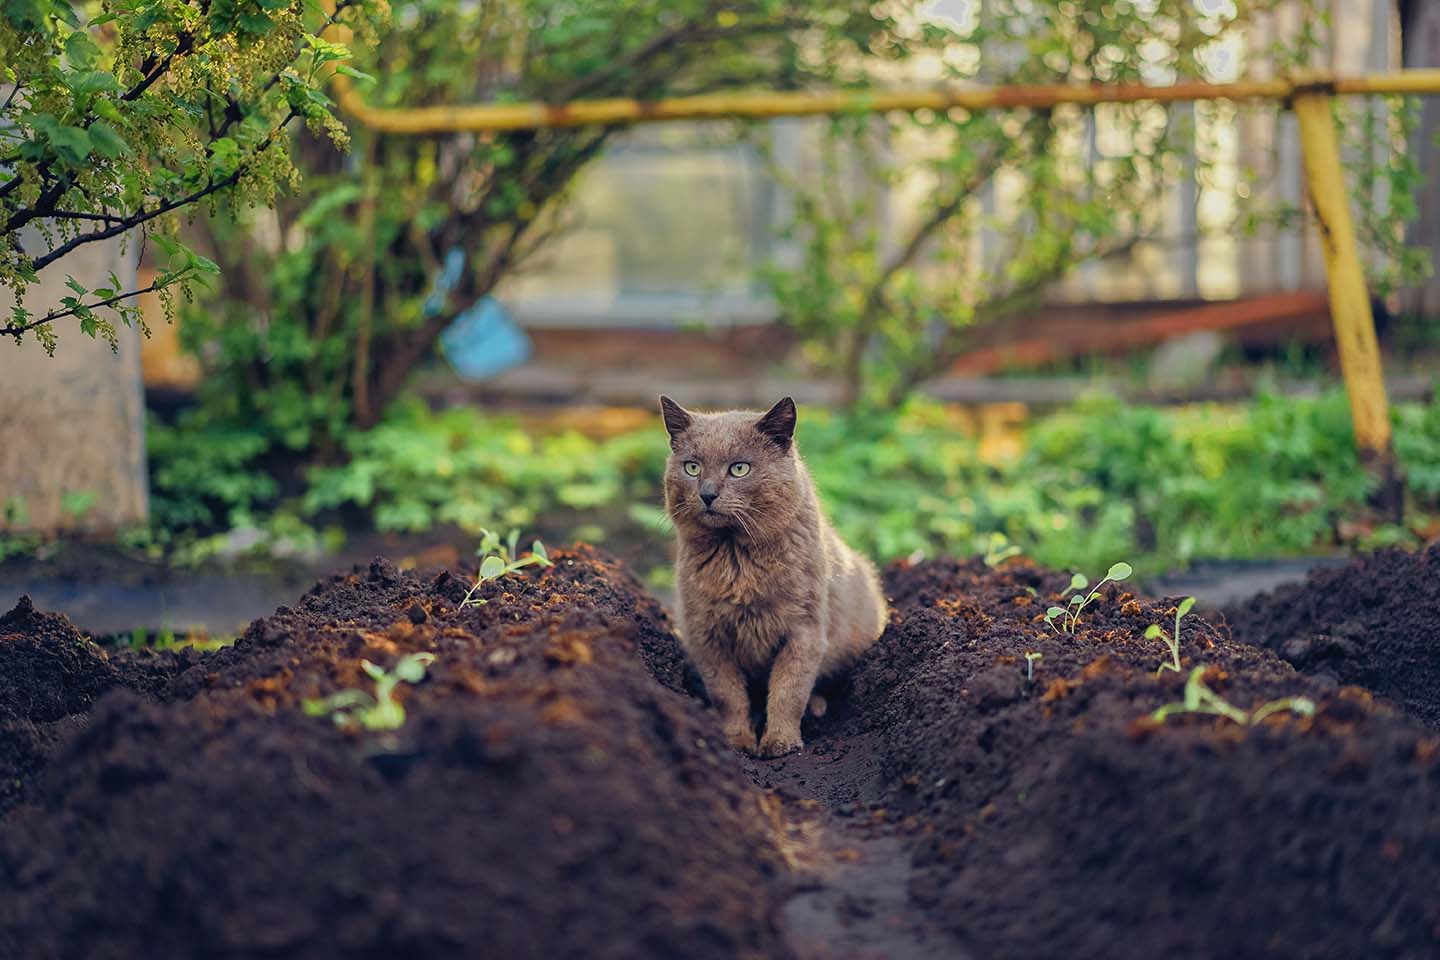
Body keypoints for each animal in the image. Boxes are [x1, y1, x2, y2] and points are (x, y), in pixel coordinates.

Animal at [659, 397, 881, 759]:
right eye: (692, 467)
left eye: (739, 468)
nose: (707, 493)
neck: (737, 560)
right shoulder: (706, 634)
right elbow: (727, 694)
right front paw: (737, 742)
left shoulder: (804, 631)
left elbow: (788, 690)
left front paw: (781, 743)